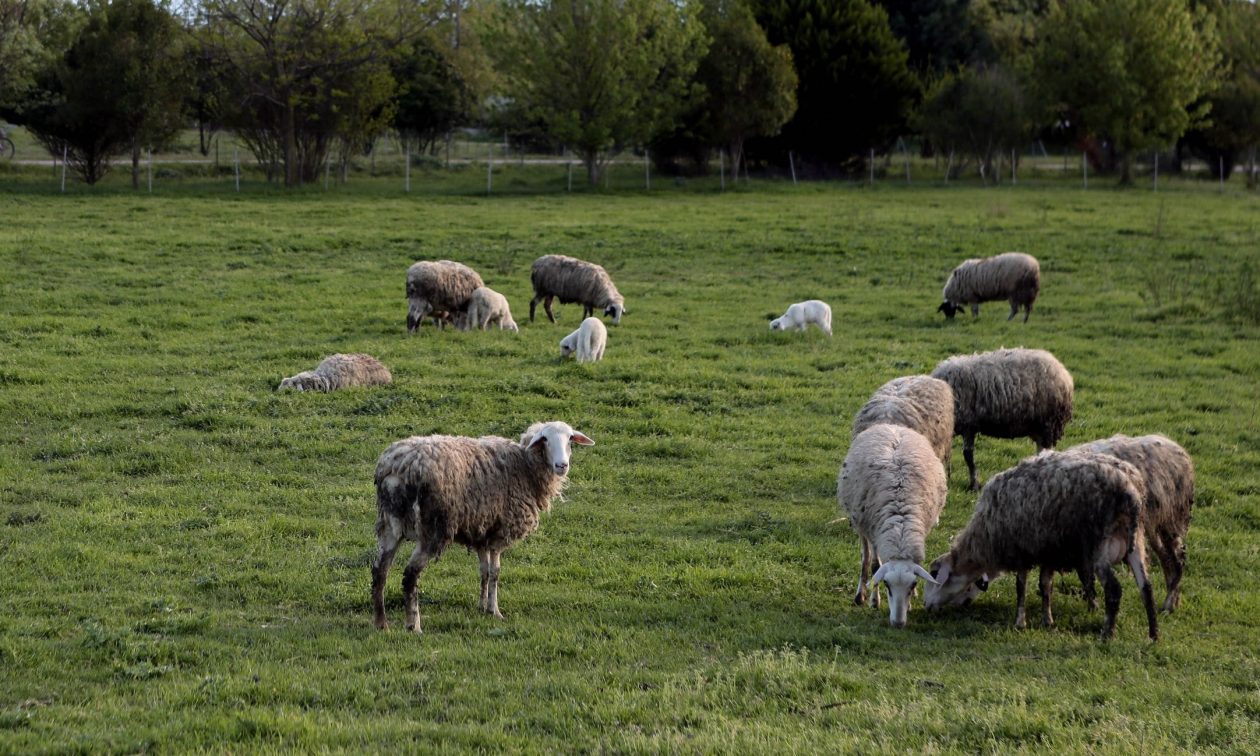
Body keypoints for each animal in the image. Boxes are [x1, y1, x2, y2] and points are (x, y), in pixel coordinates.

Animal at [367, 418, 594, 632]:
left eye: (570, 439)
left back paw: (381, 623)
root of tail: (397, 468)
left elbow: (484, 570)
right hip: (433, 529)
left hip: (390, 525)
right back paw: (414, 626)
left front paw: (482, 606)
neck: (524, 466)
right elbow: (495, 572)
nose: (562, 465)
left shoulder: (481, 531)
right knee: (410, 575)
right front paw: (495, 611)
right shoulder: (500, 532)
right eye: (545, 439)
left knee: (380, 571)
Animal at [836, 425, 947, 624]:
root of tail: (892, 426)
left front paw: (910, 603)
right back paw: (860, 595)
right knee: (865, 558)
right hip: (860, 524)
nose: (898, 623)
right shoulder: (875, 534)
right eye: (887, 584)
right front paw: (874, 601)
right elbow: (875, 567)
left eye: (913, 584)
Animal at [922, 451, 1154, 640]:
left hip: (1099, 547)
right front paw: (1047, 620)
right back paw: (1153, 635)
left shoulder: (1020, 549)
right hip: (1136, 543)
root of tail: (1130, 489)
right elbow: (1045, 586)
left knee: (1114, 590)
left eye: (934, 574)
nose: (926, 606)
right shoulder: (1047, 549)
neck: (985, 539)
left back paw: (1107, 634)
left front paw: (1020, 622)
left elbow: (1021, 587)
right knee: (1146, 586)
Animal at [927, 347, 1073, 491]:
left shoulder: (968, 425)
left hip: (1048, 423)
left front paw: (974, 484)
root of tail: (1063, 372)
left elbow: (968, 455)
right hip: (1038, 426)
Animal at [1068, 430, 1194, 614]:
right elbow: (1084, 573)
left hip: (1170, 517)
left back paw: (1168, 604)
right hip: (1152, 522)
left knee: (1178, 559)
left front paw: (1093, 605)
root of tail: (1177, 448)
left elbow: (1085, 574)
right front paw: (1092, 605)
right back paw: (1174, 600)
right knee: (1165, 557)